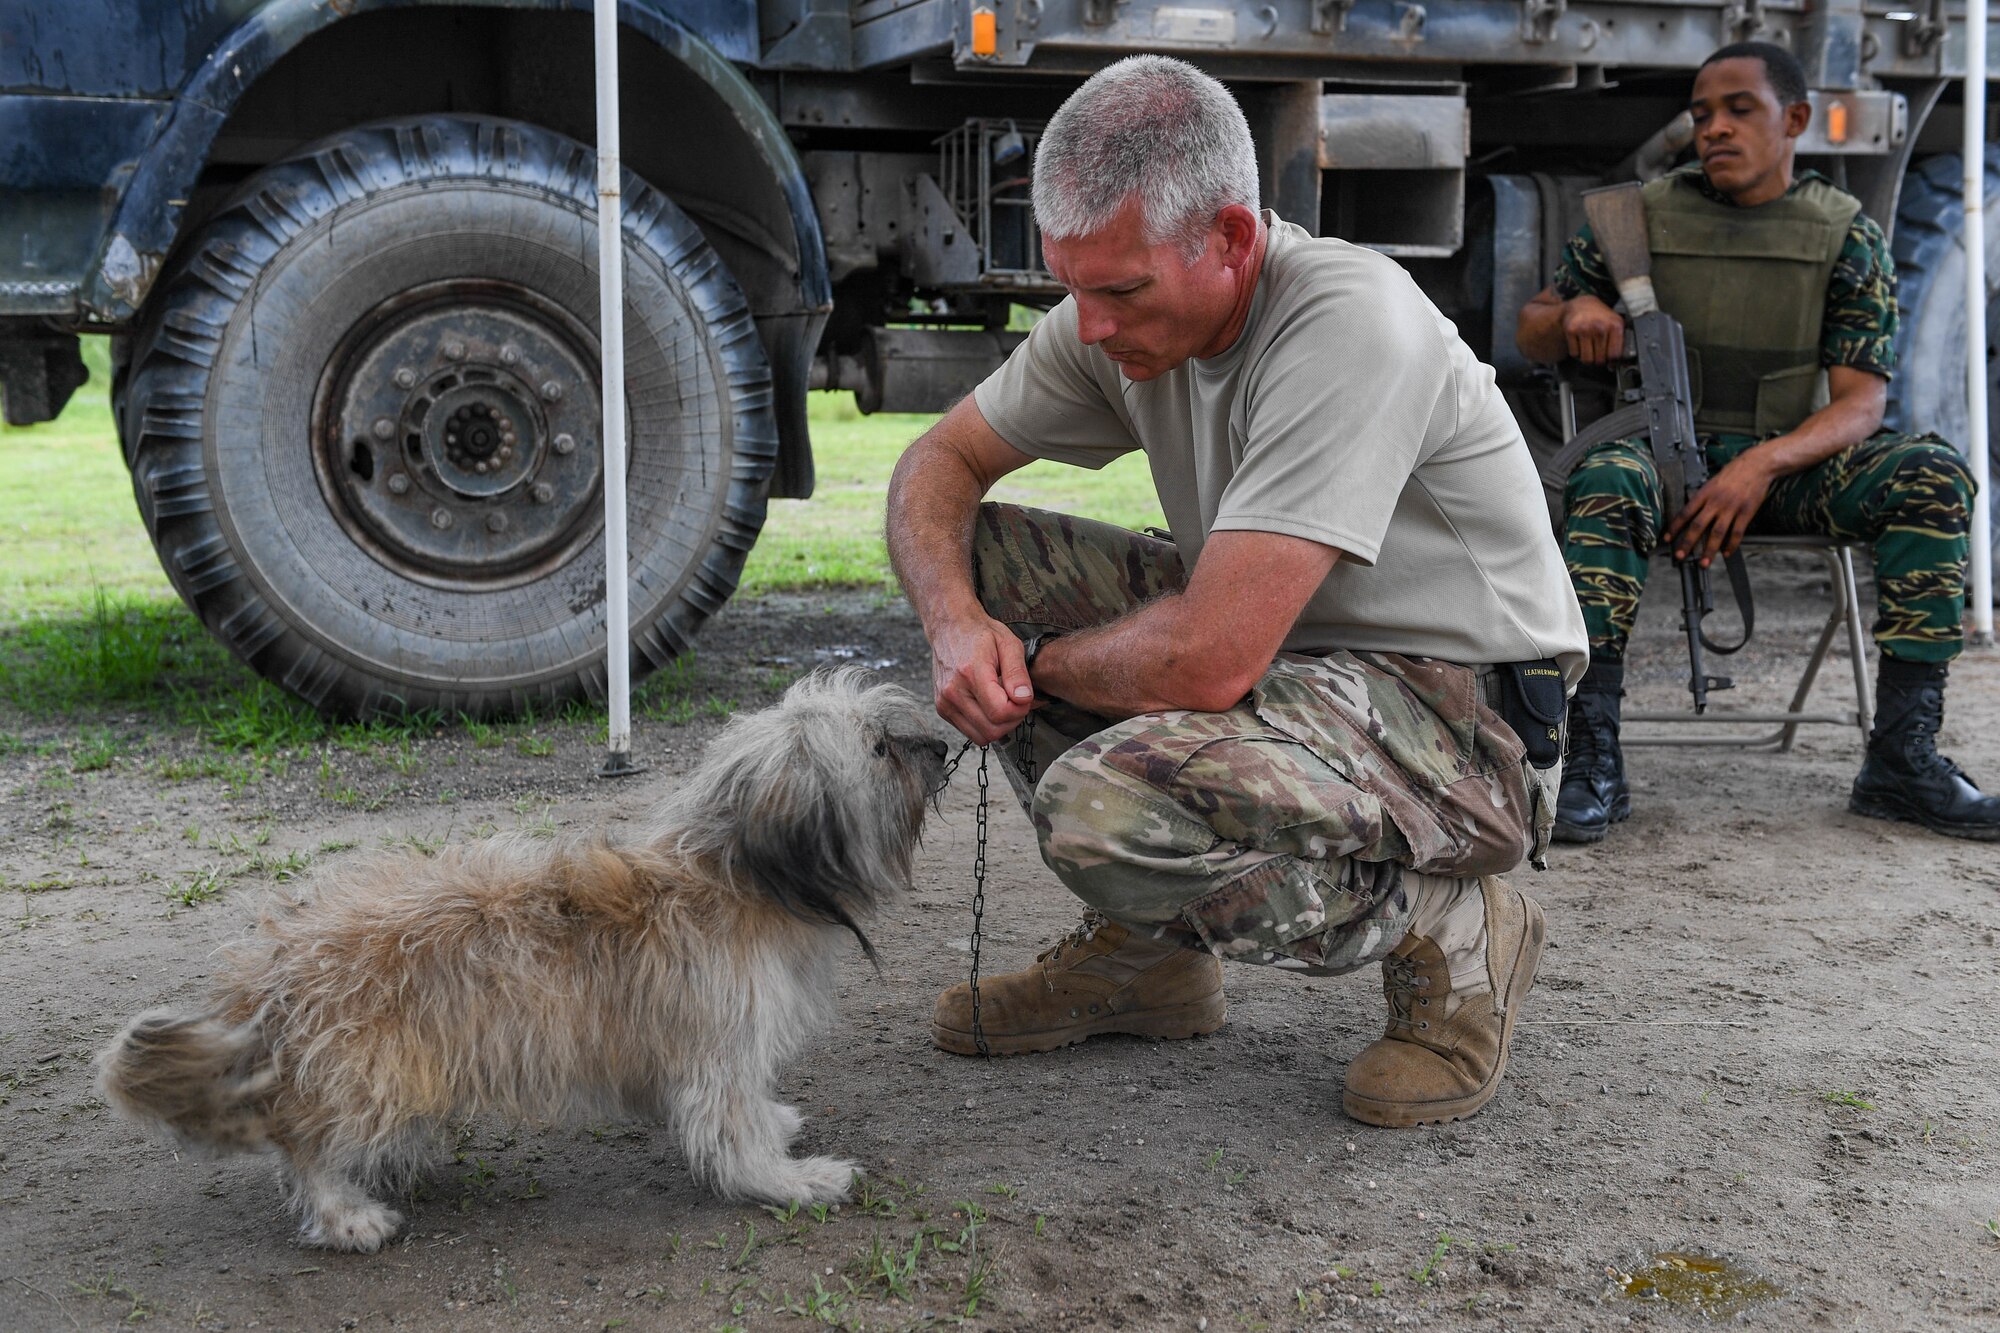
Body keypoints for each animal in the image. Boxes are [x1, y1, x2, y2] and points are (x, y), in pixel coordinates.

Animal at [92, 668, 936, 1248]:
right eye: (877, 747)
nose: (939, 743)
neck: (738, 874)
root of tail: (267, 975)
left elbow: (750, 1108)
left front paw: (780, 1127)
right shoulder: (718, 1044)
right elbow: (732, 1129)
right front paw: (793, 1179)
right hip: (362, 1070)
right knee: (304, 1147)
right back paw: (346, 1213)